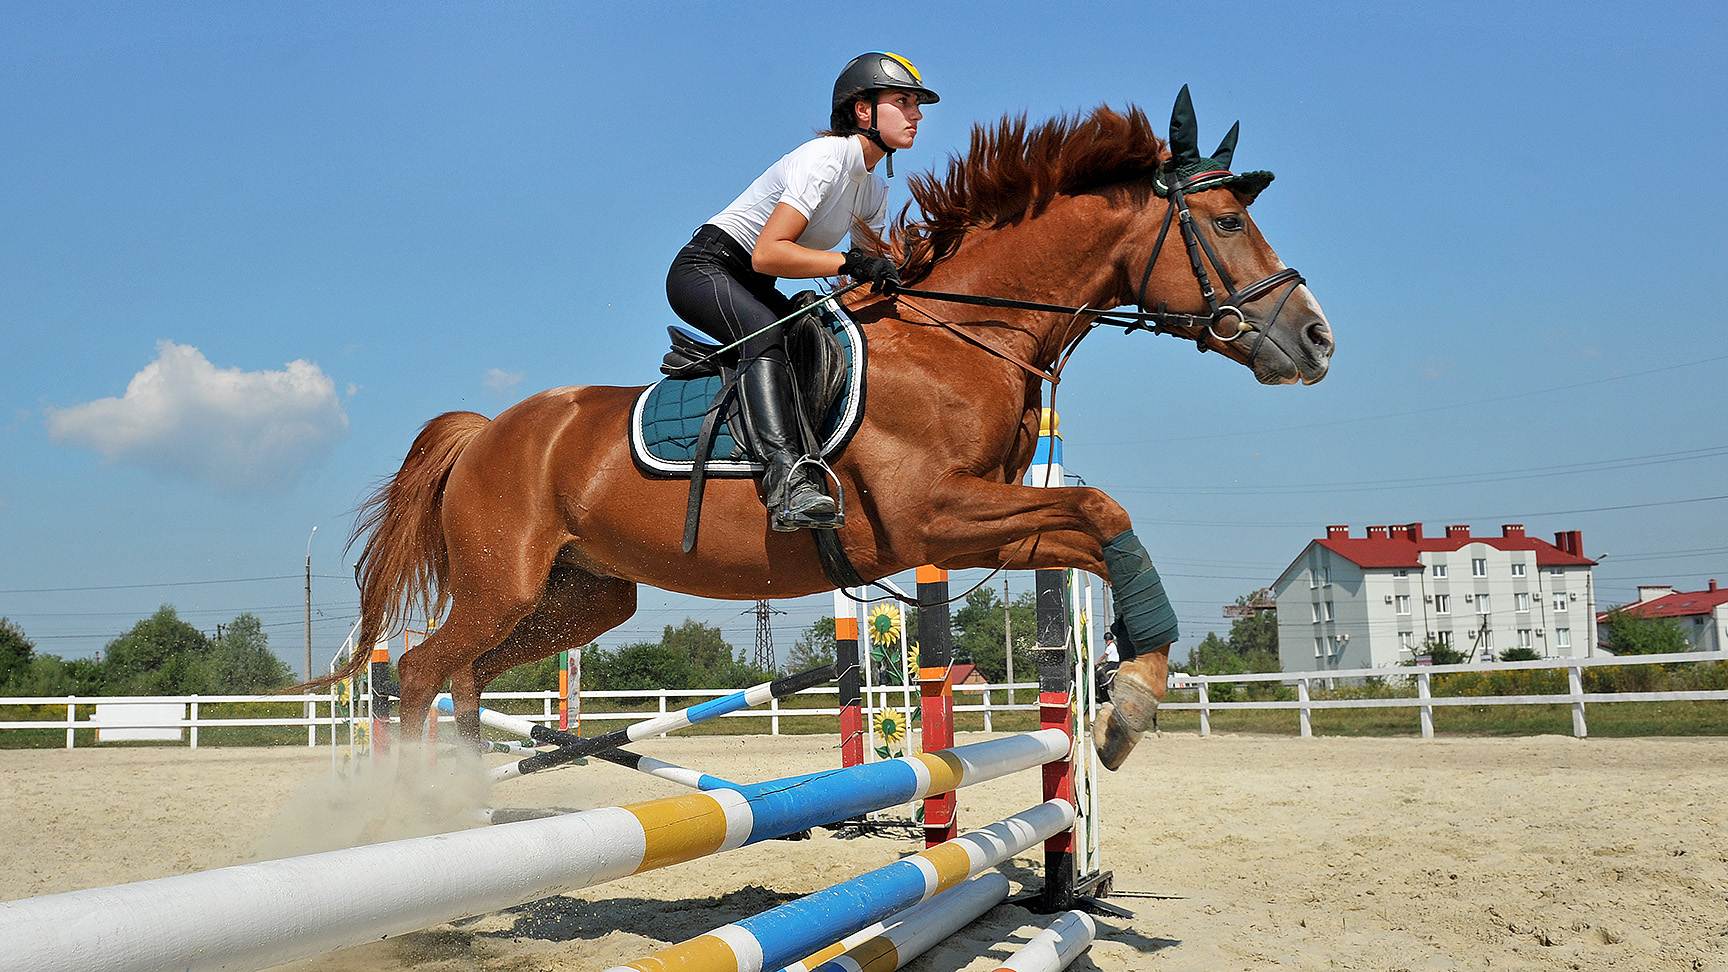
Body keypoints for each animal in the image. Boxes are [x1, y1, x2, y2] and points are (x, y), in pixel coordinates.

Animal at [315, 89, 1335, 772]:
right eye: (1228, 220)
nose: (1316, 340)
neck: (962, 333)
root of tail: (487, 432)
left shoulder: (978, 525)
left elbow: (1096, 527)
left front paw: (1129, 690)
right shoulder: (935, 515)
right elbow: (1104, 509)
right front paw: (1129, 702)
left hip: (583, 596)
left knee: (469, 674)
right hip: (503, 582)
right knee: (421, 669)